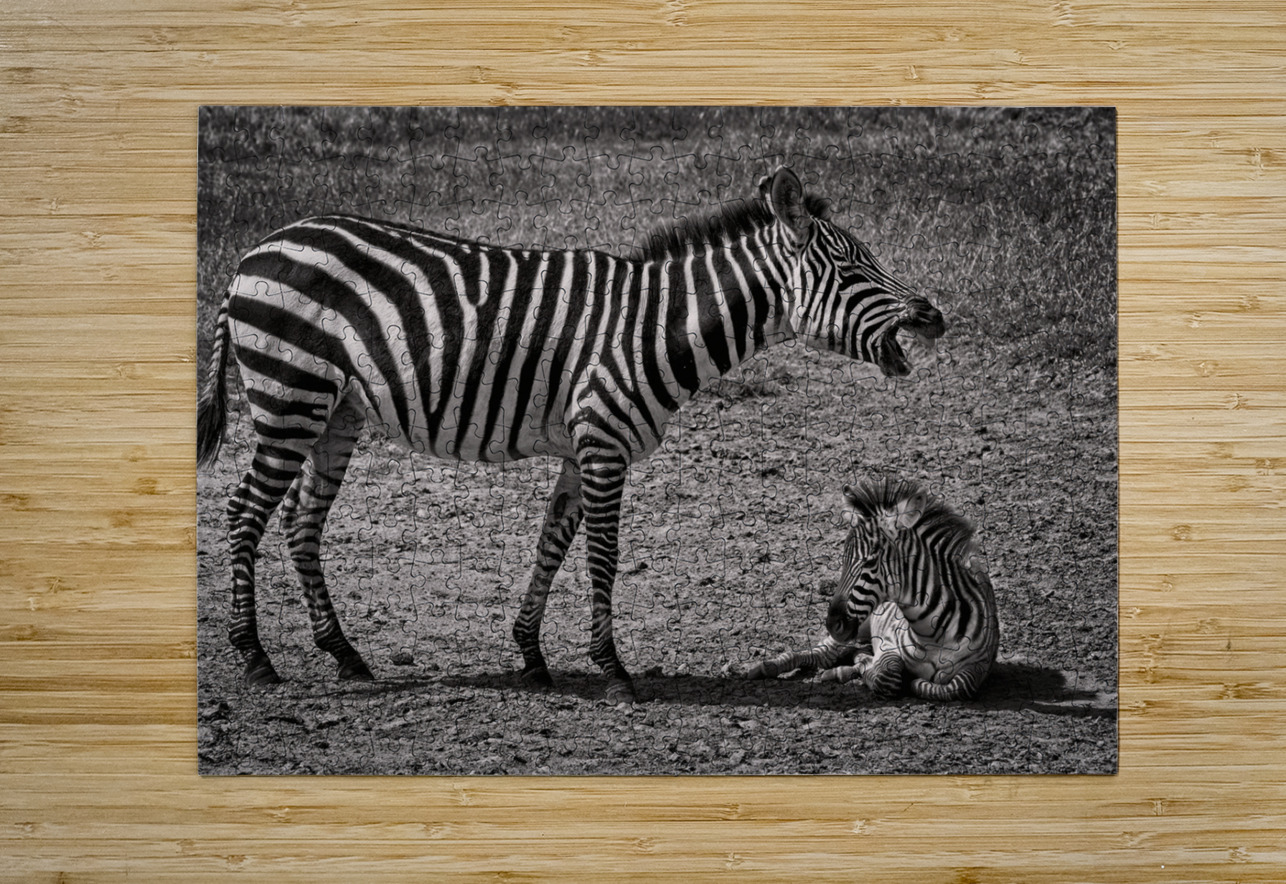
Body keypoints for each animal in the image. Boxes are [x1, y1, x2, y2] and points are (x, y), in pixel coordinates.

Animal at [196, 166, 946, 704]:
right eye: (850, 270)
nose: (933, 316)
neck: (657, 326)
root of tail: (254, 252)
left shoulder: (580, 445)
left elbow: (552, 545)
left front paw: (531, 654)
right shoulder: (604, 443)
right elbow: (603, 556)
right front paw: (612, 669)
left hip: (336, 410)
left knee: (300, 520)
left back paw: (344, 654)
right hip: (290, 395)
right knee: (244, 513)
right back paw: (255, 657)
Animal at [747, 478, 999, 701]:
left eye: (870, 561)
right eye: (844, 559)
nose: (832, 623)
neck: (932, 634)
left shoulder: (979, 667)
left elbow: (958, 687)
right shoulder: (887, 642)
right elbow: (889, 676)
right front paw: (868, 665)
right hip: (861, 624)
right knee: (822, 652)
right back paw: (768, 666)